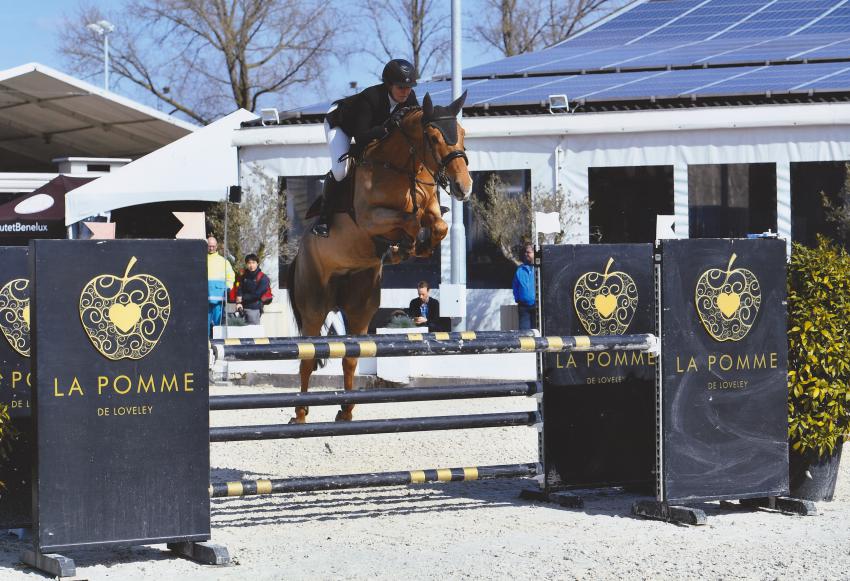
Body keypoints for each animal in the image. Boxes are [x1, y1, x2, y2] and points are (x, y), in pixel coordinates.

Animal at [288, 94, 474, 422]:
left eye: (463, 133)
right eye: (434, 138)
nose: (464, 188)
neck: (401, 167)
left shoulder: (431, 209)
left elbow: (437, 225)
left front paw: (414, 247)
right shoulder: (370, 219)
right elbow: (410, 220)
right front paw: (406, 244)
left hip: (360, 305)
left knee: (350, 357)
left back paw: (346, 411)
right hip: (314, 307)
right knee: (307, 359)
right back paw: (300, 413)